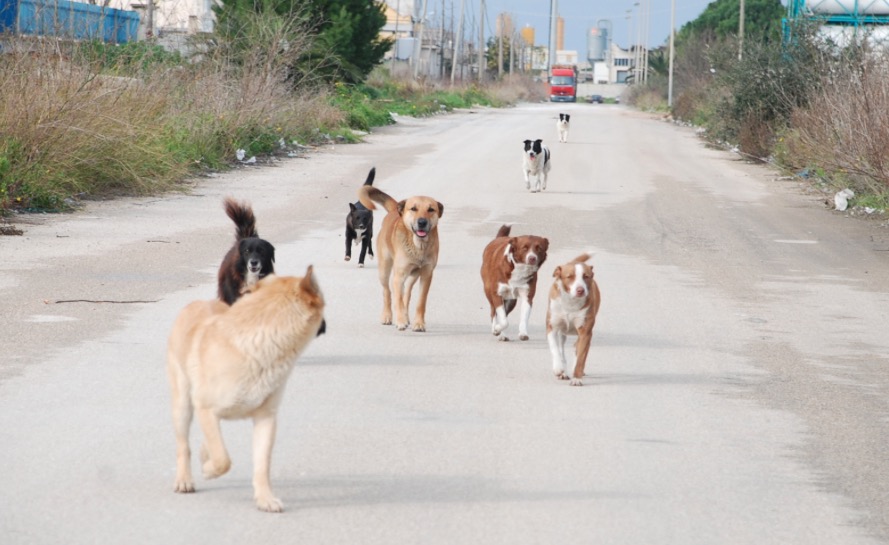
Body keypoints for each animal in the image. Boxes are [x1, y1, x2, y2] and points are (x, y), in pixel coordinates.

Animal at [165, 270, 324, 512]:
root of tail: (196, 302)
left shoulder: (266, 419)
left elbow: (262, 465)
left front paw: (265, 498)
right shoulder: (206, 410)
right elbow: (223, 460)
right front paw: (210, 470)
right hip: (182, 407)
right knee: (184, 446)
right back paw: (184, 479)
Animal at [360, 178, 442, 332]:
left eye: (431, 209)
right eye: (413, 208)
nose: (422, 222)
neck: (418, 246)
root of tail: (394, 210)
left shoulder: (426, 275)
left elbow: (420, 302)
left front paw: (418, 323)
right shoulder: (399, 276)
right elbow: (397, 299)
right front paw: (401, 321)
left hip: (413, 276)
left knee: (407, 293)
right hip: (385, 271)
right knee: (387, 292)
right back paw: (388, 315)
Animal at [544, 253, 600, 384]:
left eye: (586, 276)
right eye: (570, 276)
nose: (580, 290)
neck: (570, 302)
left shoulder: (585, 331)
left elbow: (580, 357)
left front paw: (577, 378)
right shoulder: (552, 326)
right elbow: (555, 348)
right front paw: (558, 368)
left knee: (577, 348)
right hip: (562, 332)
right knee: (561, 348)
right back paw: (563, 371)